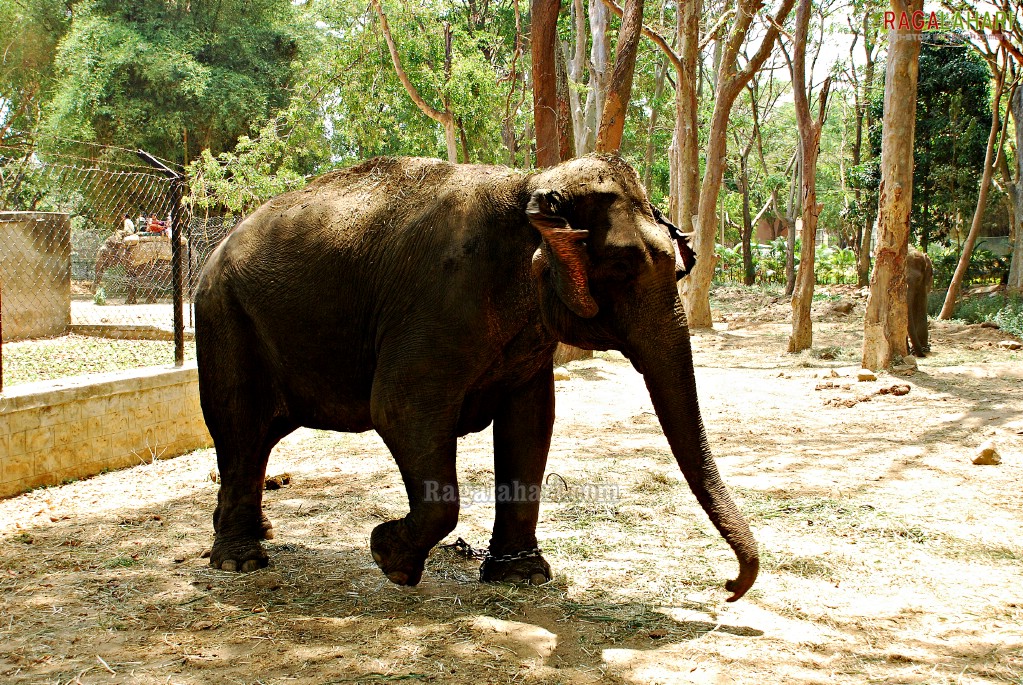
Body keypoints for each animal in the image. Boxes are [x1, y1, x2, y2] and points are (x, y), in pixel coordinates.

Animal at [193, 154, 761, 601]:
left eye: (679, 267)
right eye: (622, 268)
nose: (728, 588)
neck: (529, 185)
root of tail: (217, 248)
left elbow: (531, 423)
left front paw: (522, 576)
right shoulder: (438, 305)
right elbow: (399, 409)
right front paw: (389, 556)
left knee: (259, 436)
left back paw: (251, 534)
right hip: (224, 319)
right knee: (240, 426)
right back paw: (240, 561)